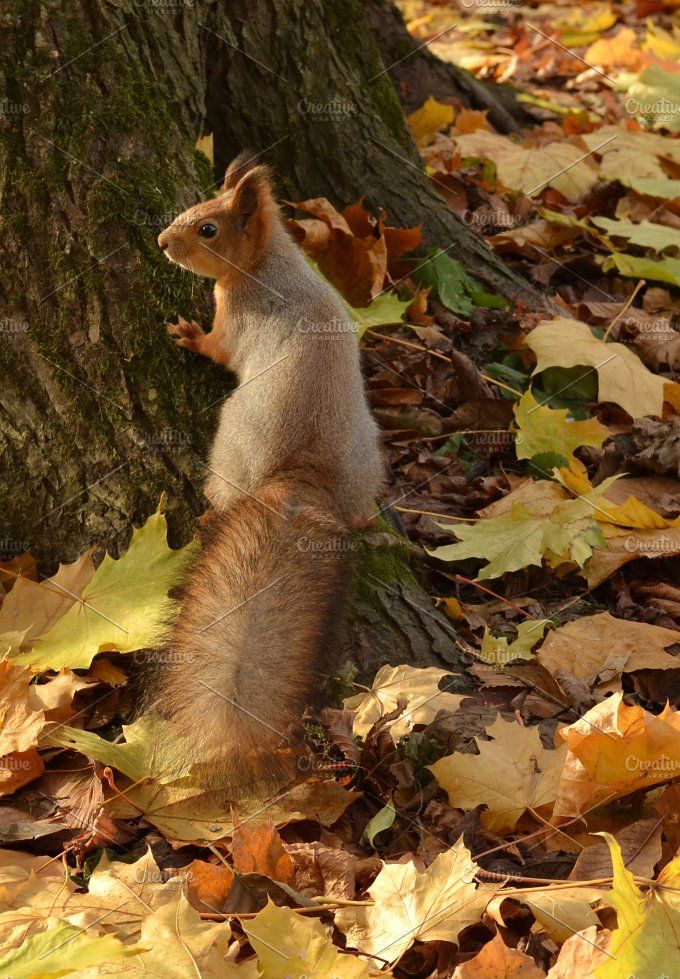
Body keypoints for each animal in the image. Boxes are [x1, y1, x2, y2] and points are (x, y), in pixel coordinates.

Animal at [145, 153, 385, 800]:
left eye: (208, 229)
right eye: (194, 208)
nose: (163, 241)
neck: (268, 265)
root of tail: (298, 480)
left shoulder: (234, 321)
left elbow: (218, 349)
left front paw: (186, 334)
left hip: (231, 441)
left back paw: (211, 512)